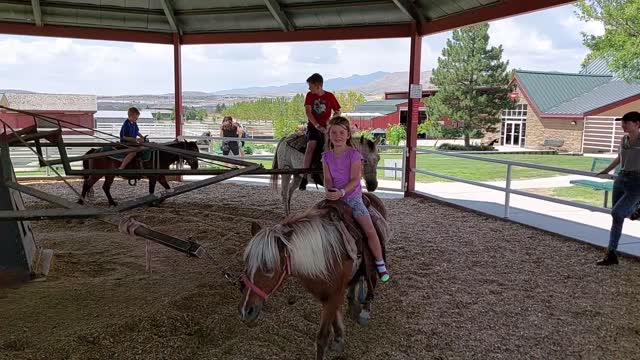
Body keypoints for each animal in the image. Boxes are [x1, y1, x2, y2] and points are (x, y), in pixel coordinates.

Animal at [239, 194, 390, 360]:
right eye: (246, 262)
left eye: (268, 267)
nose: (246, 310)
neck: (325, 255)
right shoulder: (327, 295)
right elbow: (335, 319)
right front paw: (338, 339)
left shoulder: (334, 294)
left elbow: (322, 338)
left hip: (372, 259)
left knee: (371, 280)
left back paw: (365, 310)